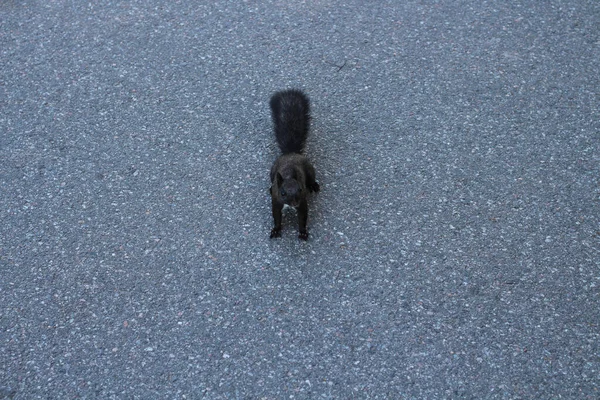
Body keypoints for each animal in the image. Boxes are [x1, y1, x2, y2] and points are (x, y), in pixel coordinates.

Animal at [270, 89, 322, 239]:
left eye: (300, 189)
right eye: (282, 193)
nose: (295, 202)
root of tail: (291, 153)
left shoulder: (303, 201)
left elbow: (303, 217)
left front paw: (303, 231)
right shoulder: (276, 200)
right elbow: (276, 216)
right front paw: (276, 229)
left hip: (310, 170)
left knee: (311, 178)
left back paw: (314, 185)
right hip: (272, 171)